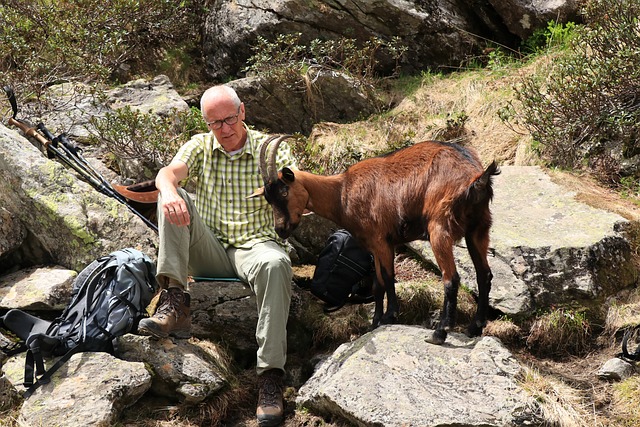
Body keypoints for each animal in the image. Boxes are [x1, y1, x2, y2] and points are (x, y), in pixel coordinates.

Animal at [250, 136, 500, 344]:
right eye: (267, 198)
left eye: (284, 191)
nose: (281, 229)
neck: (342, 192)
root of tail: (476, 176)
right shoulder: (373, 245)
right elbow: (378, 284)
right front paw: (375, 322)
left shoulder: (381, 239)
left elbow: (389, 277)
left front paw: (390, 316)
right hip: (478, 229)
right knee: (484, 275)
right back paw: (474, 328)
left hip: (439, 227)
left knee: (451, 278)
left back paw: (439, 333)